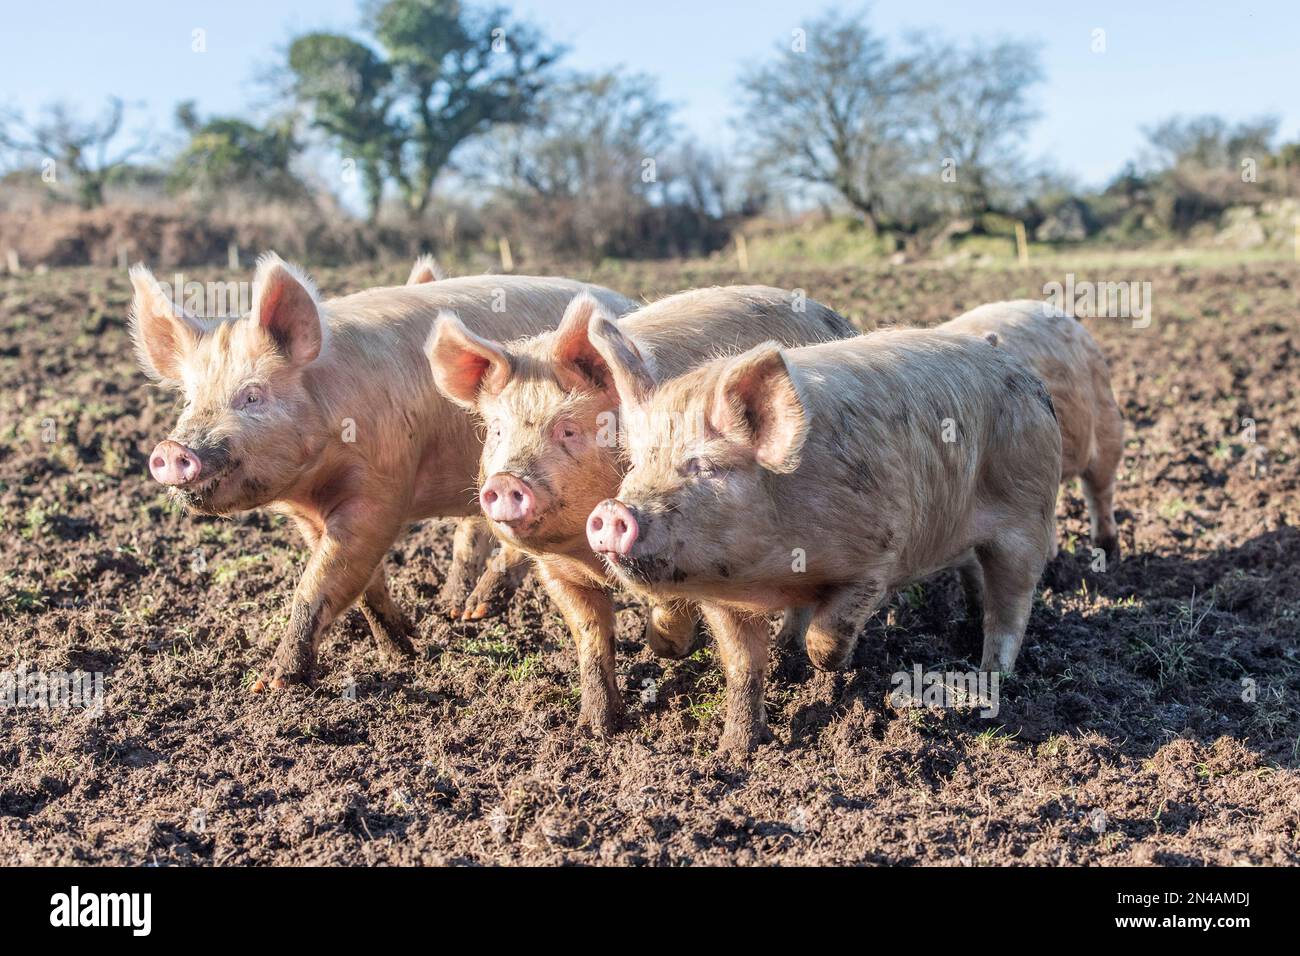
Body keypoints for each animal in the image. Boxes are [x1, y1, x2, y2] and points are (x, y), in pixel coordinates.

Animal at [129, 252, 631, 686]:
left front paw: (270, 684)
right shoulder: (309, 516)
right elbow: (364, 584)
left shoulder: (380, 490)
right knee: (477, 528)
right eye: (189, 399)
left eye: (252, 396)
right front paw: (405, 651)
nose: (172, 450)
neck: (312, 482)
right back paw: (457, 612)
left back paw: (474, 610)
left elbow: (322, 579)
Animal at [421, 287, 857, 738]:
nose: (507, 481)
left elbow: (671, 603)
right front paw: (595, 729)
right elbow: (591, 640)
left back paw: (791, 656)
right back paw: (468, 611)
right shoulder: (557, 572)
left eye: (567, 430)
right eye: (496, 430)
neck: (584, 552)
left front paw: (669, 645)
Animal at [590, 329, 1066, 754]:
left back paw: (994, 680)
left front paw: (829, 667)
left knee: (1011, 607)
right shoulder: (723, 600)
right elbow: (743, 667)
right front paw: (736, 749)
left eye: (704, 466)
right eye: (636, 463)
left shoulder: (878, 556)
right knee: (975, 574)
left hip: (1029, 512)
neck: (767, 574)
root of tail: (1016, 367)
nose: (612, 511)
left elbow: (828, 630)